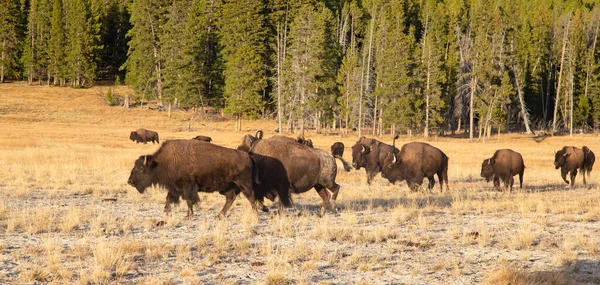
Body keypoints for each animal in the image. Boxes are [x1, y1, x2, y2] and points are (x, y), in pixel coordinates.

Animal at [126, 139, 255, 217]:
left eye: (141, 168)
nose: (130, 181)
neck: (162, 162)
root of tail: (247, 156)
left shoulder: (188, 187)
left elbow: (189, 200)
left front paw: (188, 215)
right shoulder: (174, 188)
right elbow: (169, 198)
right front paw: (166, 212)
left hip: (244, 184)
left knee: (251, 197)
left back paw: (255, 213)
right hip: (229, 187)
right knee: (230, 198)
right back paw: (219, 215)